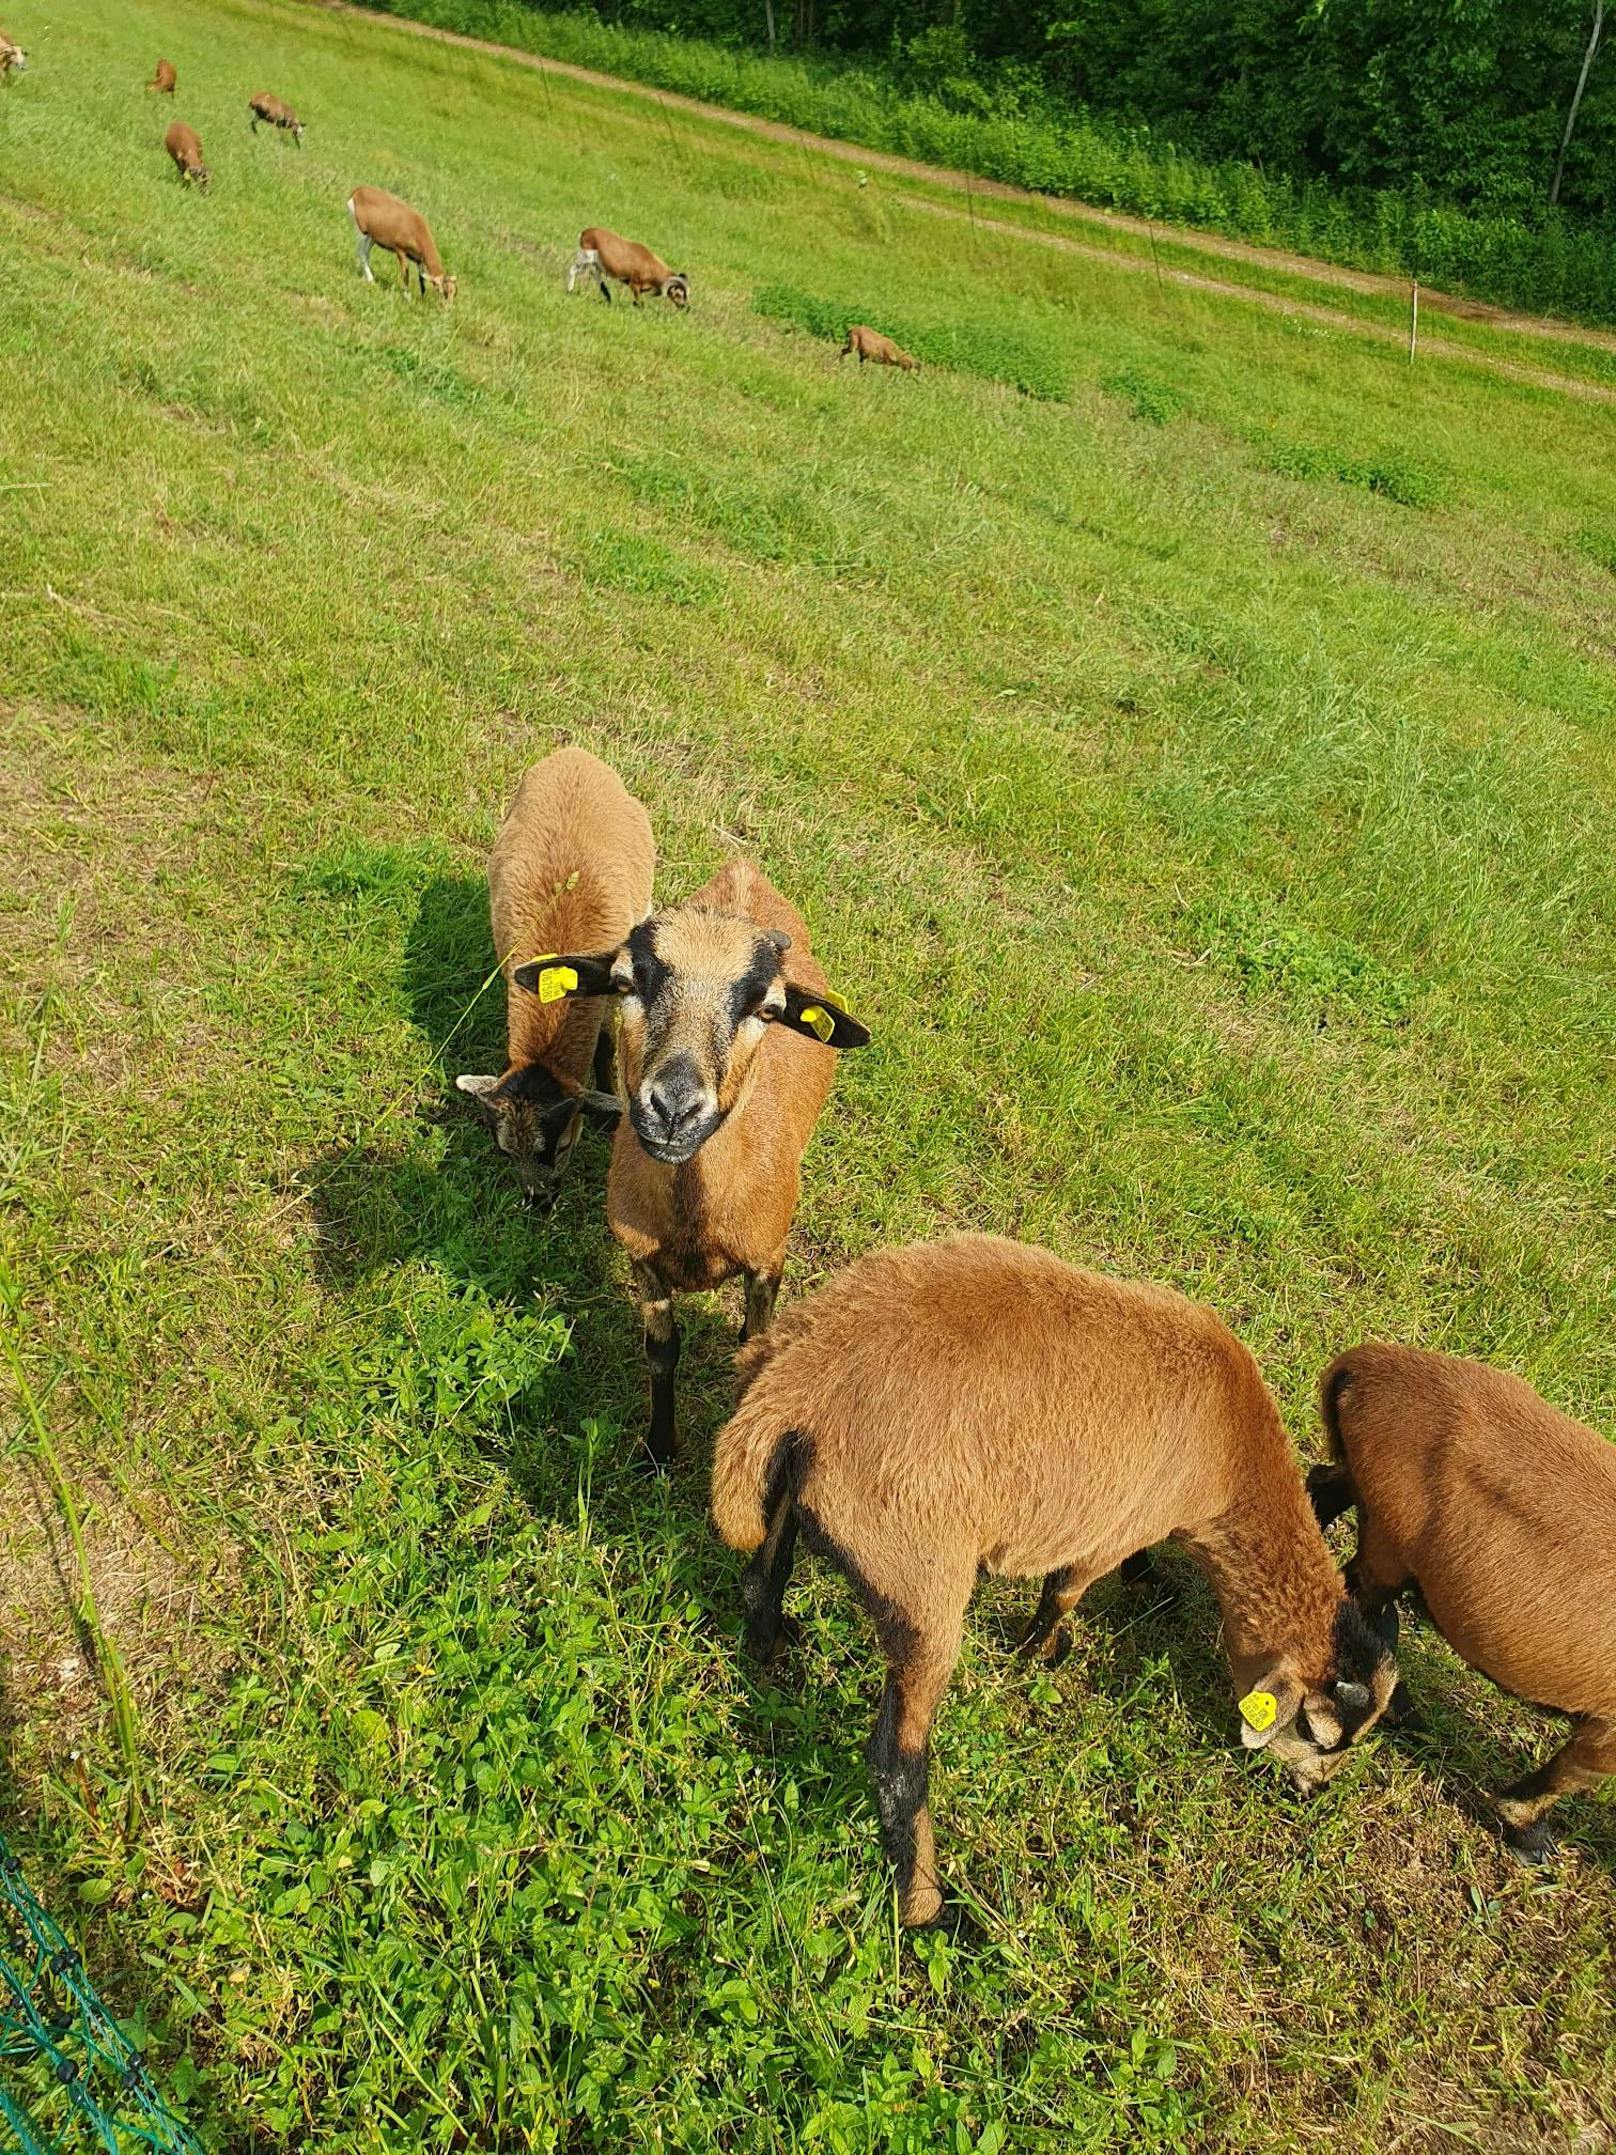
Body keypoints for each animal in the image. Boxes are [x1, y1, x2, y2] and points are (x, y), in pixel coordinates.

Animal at [519, 857, 874, 1465]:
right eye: (623, 984)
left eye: (768, 1010)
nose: (674, 1109)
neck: (696, 1216)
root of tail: (743, 871)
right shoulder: (642, 1259)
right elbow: (661, 1352)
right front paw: (659, 1452)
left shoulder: (769, 1256)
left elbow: (754, 1347)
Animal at [715, 1241, 1396, 1930]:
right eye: (1316, 1732)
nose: (1312, 1793)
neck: (1232, 1460)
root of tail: (794, 1382)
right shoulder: (1106, 1533)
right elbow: (1063, 1593)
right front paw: (1040, 1652)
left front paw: (1149, 1582)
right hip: (919, 1570)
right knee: (896, 1759)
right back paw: (927, 1905)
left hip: (804, 1497)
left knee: (762, 1575)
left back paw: (771, 1644)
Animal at [1318, 1344, 1616, 1870]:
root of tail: (1362, 1365)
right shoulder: (1608, 1728)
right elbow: (1568, 1777)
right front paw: (1528, 1837)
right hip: (1391, 1540)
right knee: (1362, 1604)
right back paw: (1402, 1713)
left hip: (1364, 1495)